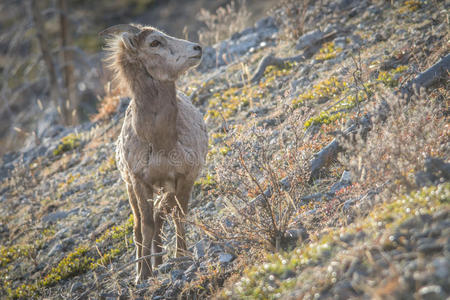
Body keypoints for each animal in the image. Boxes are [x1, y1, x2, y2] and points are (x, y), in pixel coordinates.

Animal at [100, 24, 207, 282]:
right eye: (155, 43)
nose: (197, 48)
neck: (160, 143)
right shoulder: (140, 182)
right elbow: (147, 225)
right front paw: (143, 275)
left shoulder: (184, 178)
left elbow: (177, 214)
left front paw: (181, 256)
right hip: (130, 190)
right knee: (139, 227)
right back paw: (148, 266)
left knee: (162, 215)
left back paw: (160, 262)